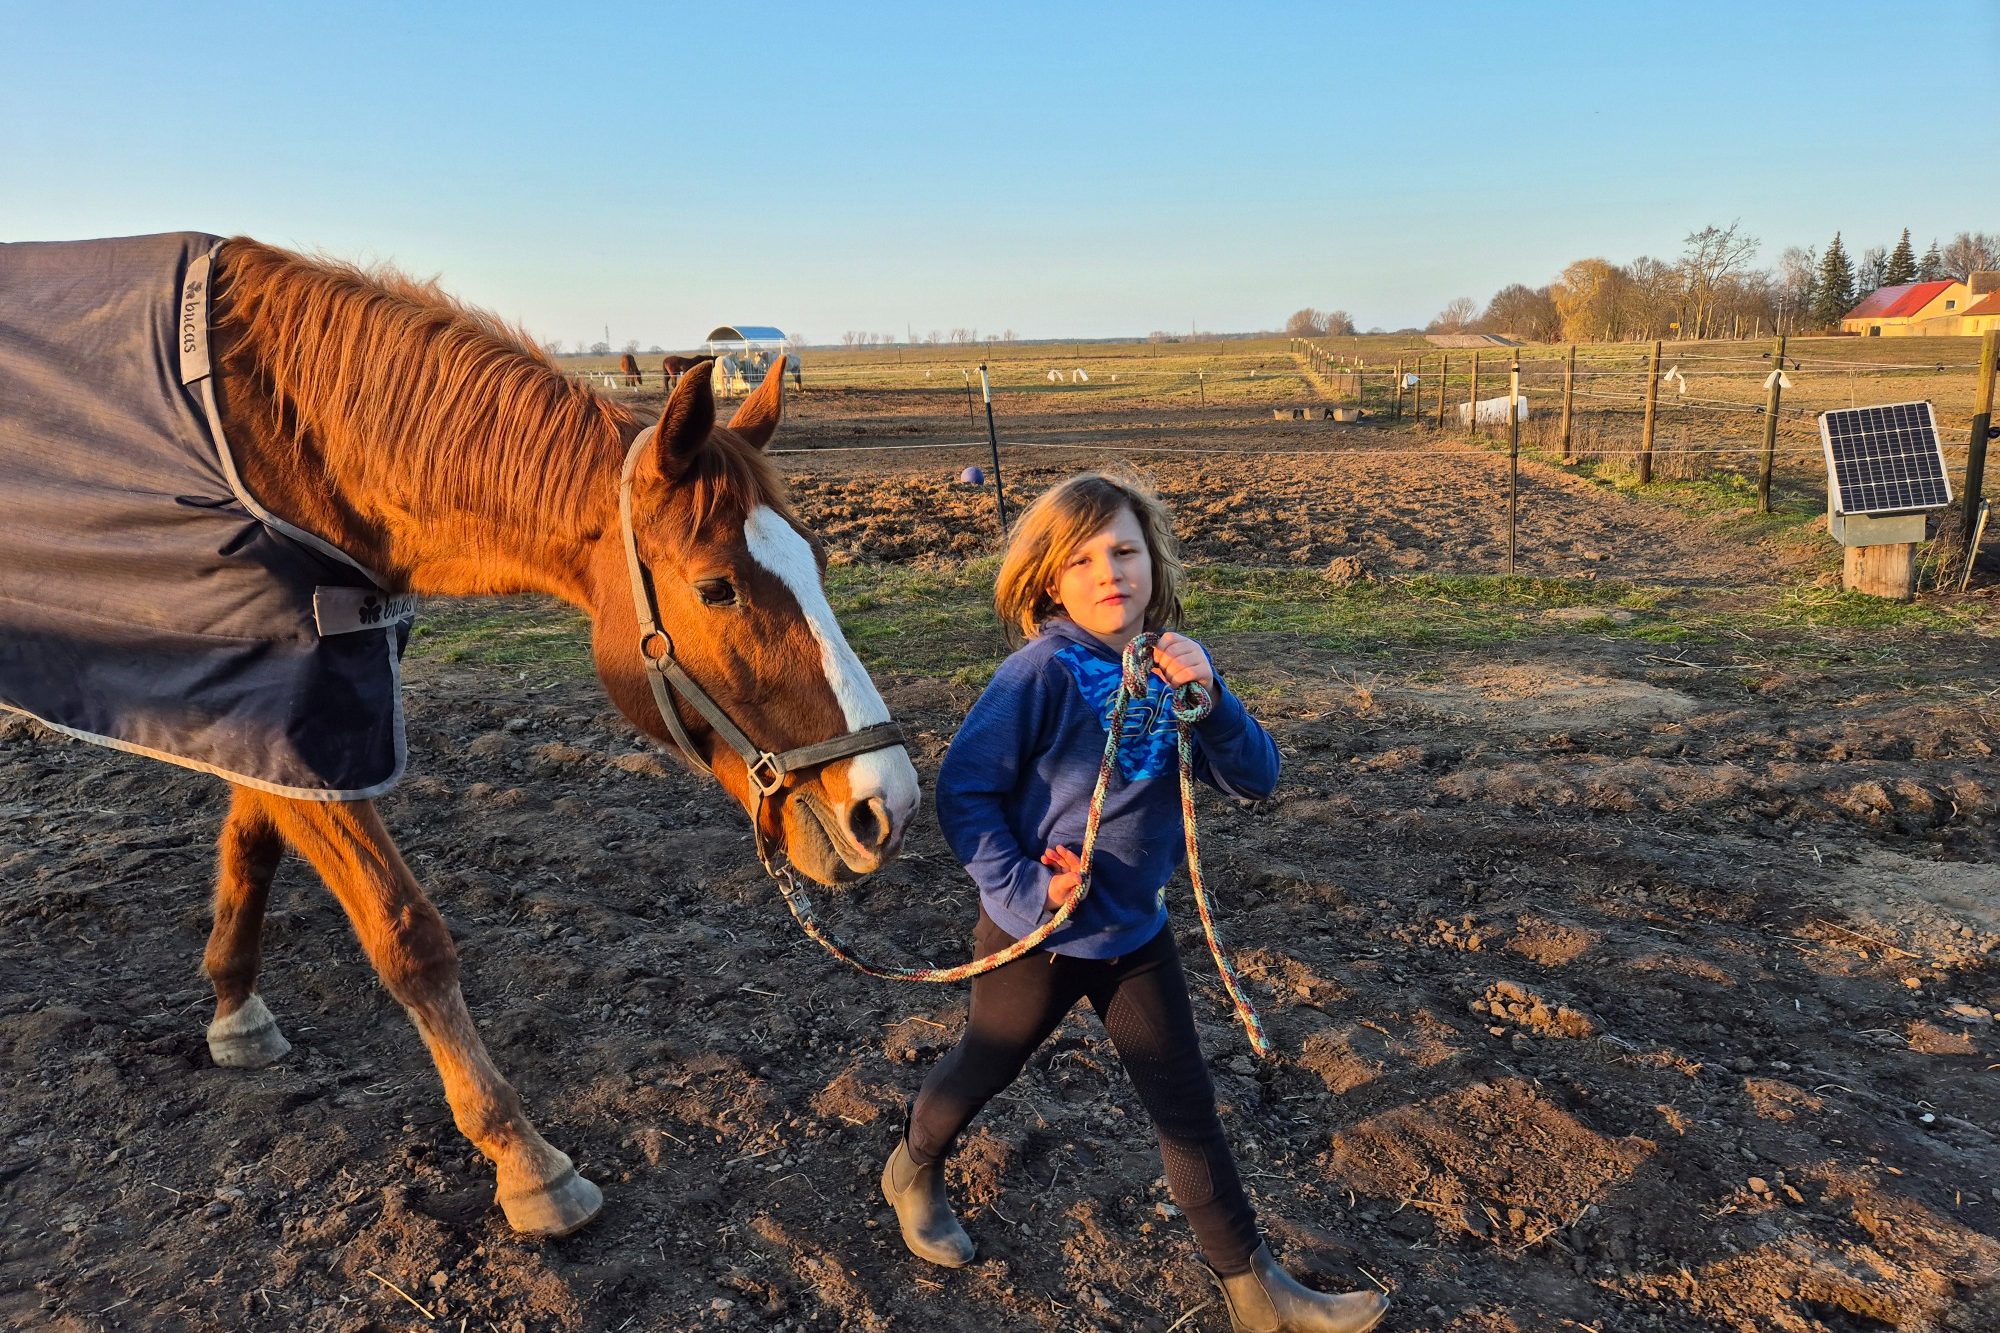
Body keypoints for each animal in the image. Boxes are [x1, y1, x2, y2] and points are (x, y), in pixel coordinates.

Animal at [0, 233, 918, 1238]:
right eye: (717, 588)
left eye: (819, 562)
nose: (887, 803)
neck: (283, 440)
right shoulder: (298, 713)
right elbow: (409, 935)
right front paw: (527, 1161)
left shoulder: (280, 709)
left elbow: (249, 846)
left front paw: (235, 1009)